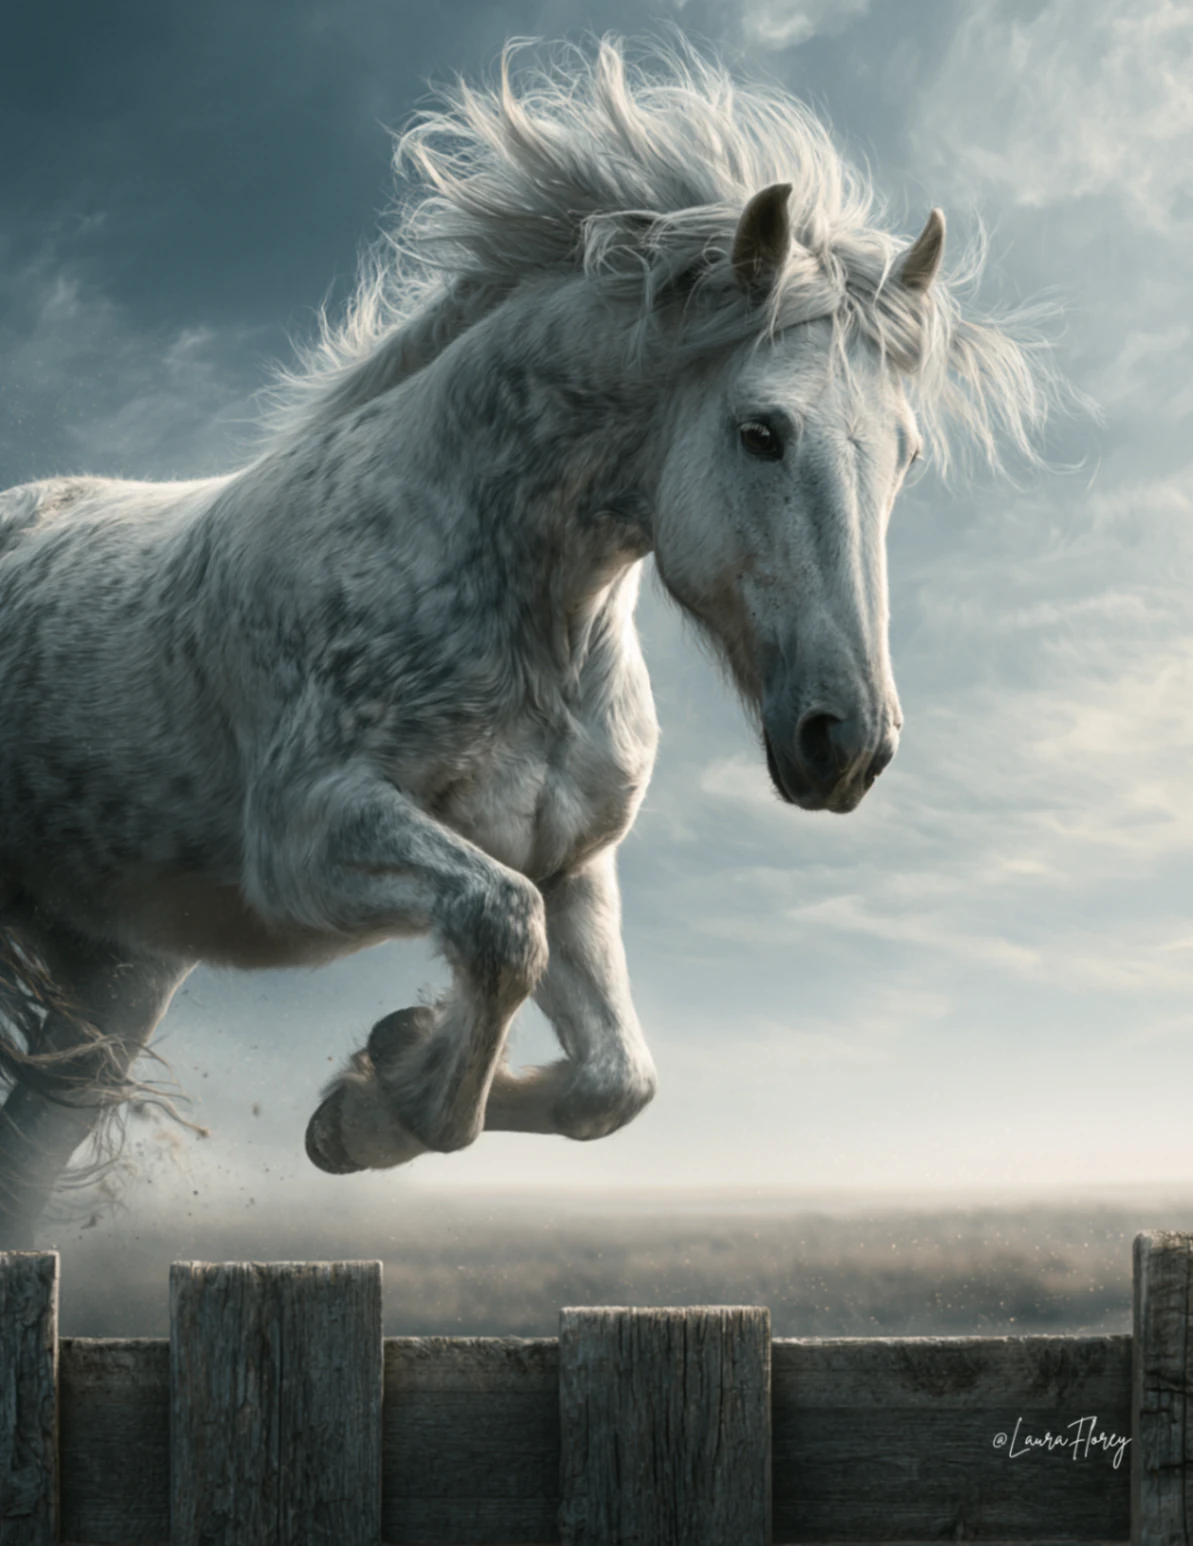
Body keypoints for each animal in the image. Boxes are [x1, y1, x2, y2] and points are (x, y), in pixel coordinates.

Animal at [0, 39, 1050, 1248]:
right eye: (760, 433)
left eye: (906, 457)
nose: (848, 744)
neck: (523, 612)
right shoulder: (306, 836)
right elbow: (502, 930)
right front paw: (380, 1094)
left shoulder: (569, 861)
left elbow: (613, 1080)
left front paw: (375, 1083)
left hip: (114, 979)